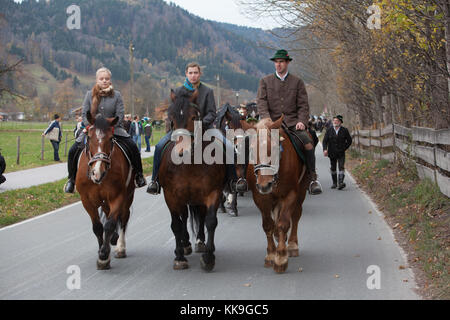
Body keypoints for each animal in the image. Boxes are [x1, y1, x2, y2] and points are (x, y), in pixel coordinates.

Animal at [76, 111, 135, 268]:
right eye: (90, 137)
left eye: (110, 138)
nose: (97, 172)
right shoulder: (87, 201)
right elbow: (98, 227)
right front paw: (102, 253)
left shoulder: (118, 197)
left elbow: (109, 224)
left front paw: (104, 256)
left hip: (128, 196)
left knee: (124, 217)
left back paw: (120, 247)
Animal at [159, 89, 229, 272]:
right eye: (171, 118)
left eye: (193, 117)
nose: (181, 151)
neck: (188, 164)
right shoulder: (171, 195)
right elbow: (176, 224)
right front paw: (179, 257)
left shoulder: (213, 193)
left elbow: (210, 221)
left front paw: (209, 257)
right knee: (183, 217)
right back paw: (185, 244)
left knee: (202, 216)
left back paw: (200, 242)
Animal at [243, 116, 310, 274]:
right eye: (252, 149)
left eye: (273, 148)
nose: (264, 185)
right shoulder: (260, 198)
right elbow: (268, 225)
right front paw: (271, 255)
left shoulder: (290, 194)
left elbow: (283, 223)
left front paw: (280, 258)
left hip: (301, 190)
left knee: (296, 215)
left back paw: (292, 245)